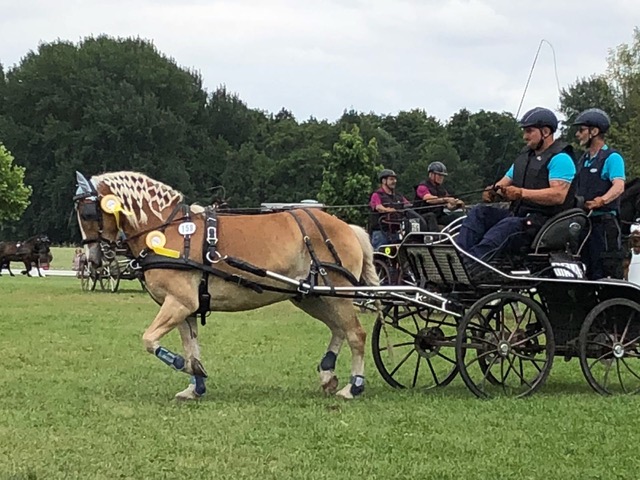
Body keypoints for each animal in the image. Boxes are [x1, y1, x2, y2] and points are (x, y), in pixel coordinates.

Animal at [75, 171, 382, 400]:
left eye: (88, 213)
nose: (92, 259)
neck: (166, 232)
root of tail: (348, 228)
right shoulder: (185, 308)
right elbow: (191, 346)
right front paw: (195, 384)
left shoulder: (179, 302)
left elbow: (150, 340)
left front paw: (181, 365)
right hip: (310, 296)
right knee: (339, 329)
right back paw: (328, 375)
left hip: (336, 294)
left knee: (356, 334)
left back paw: (353, 386)